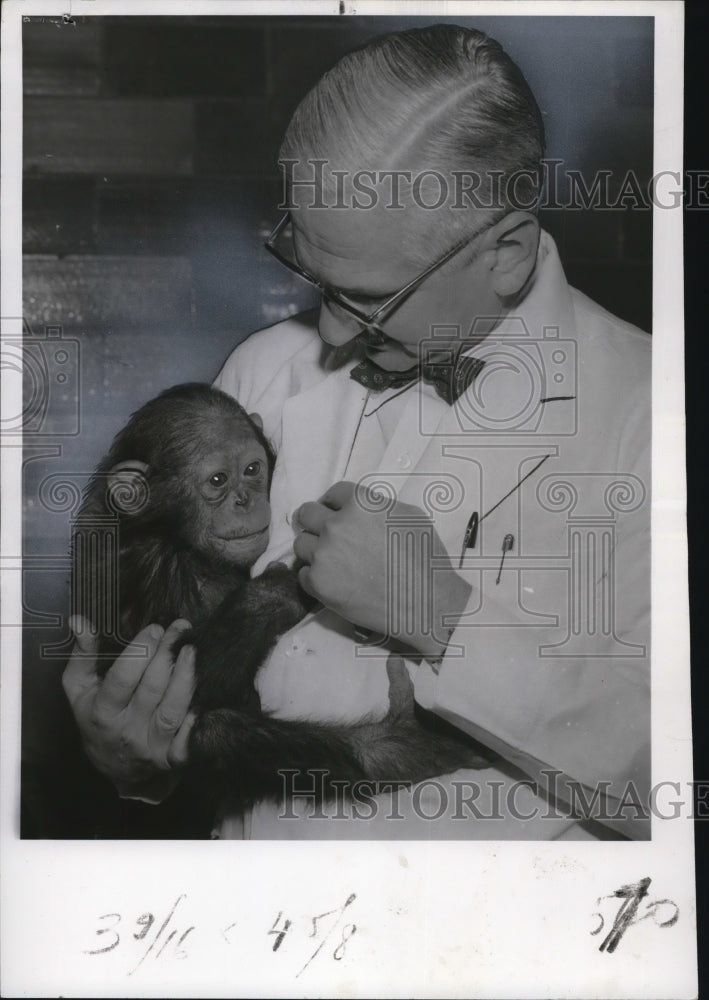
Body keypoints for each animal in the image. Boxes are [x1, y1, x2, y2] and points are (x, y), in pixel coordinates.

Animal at [74, 382, 490, 812]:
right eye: (218, 480)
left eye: (252, 470)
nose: (245, 500)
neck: (172, 537)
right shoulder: (154, 573)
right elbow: (186, 665)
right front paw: (285, 589)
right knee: (217, 728)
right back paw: (397, 747)